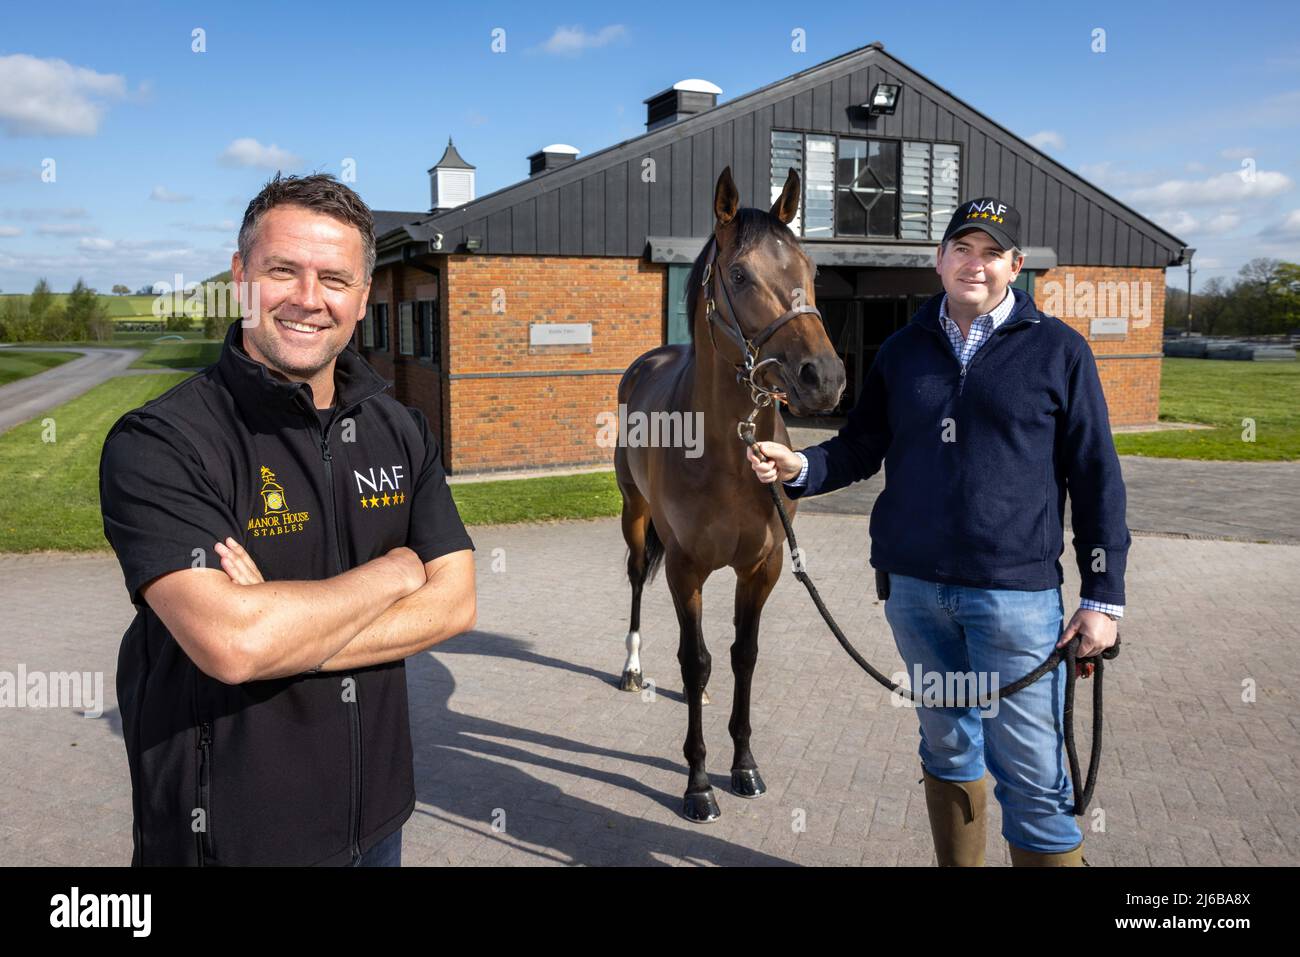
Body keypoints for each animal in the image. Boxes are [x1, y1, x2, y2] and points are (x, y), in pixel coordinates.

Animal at [614, 165, 846, 822]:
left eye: (811, 268)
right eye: (740, 274)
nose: (825, 377)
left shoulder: (761, 567)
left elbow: (744, 654)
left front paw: (743, 764)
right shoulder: (685, 567)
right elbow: (693, 661)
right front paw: (698, 783)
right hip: (635, 518)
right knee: (636, 581)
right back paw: (632, 667)